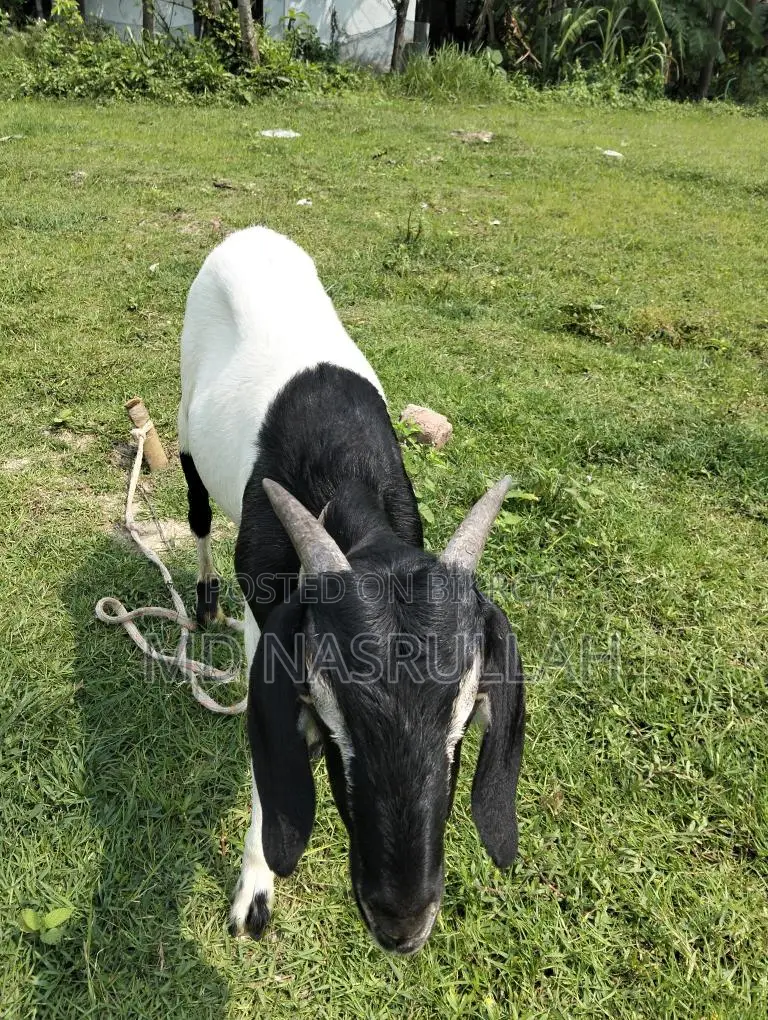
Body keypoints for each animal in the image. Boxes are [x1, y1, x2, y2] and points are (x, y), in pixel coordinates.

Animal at [178, 227, 525, 954]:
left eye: (462, 722)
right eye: (331, 716)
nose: (402, 923)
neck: (343, 480)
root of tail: (250, 234)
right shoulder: (267, 620)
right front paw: (255, 890)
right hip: (186, 427)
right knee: (196, 512)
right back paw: (203, 598)